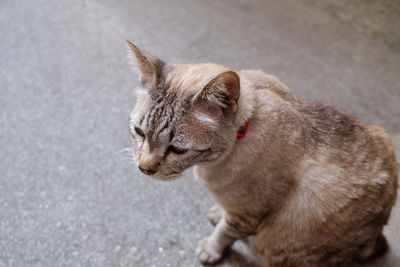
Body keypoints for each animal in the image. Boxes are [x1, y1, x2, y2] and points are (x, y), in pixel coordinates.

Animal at [126, 40, 398, 266]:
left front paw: (211, 249)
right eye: (139, 132)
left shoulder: (246, 215)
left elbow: (224, 234)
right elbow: (223, 217)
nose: (145, 168)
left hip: (272, 246)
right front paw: (217, 212)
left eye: (178, 149)